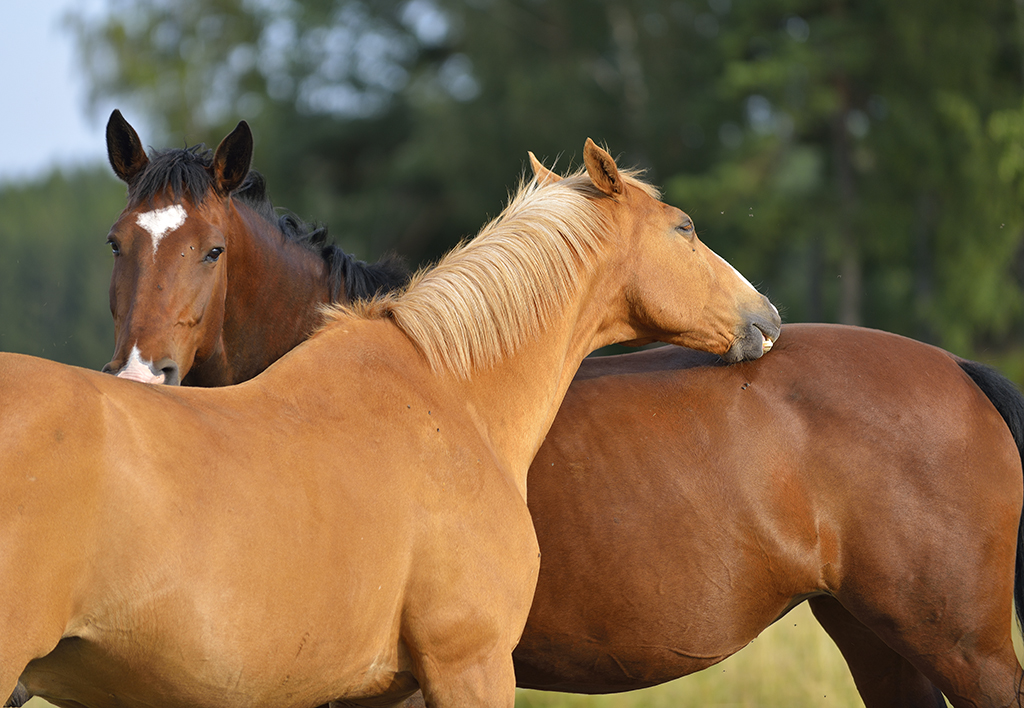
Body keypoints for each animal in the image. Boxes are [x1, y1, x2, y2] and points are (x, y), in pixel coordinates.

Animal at [99, 137, 1024, 706]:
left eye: (213, 249)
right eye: (117, 243)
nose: (142, 374)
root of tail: (958, 369)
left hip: (964, 646)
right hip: (877, 635)